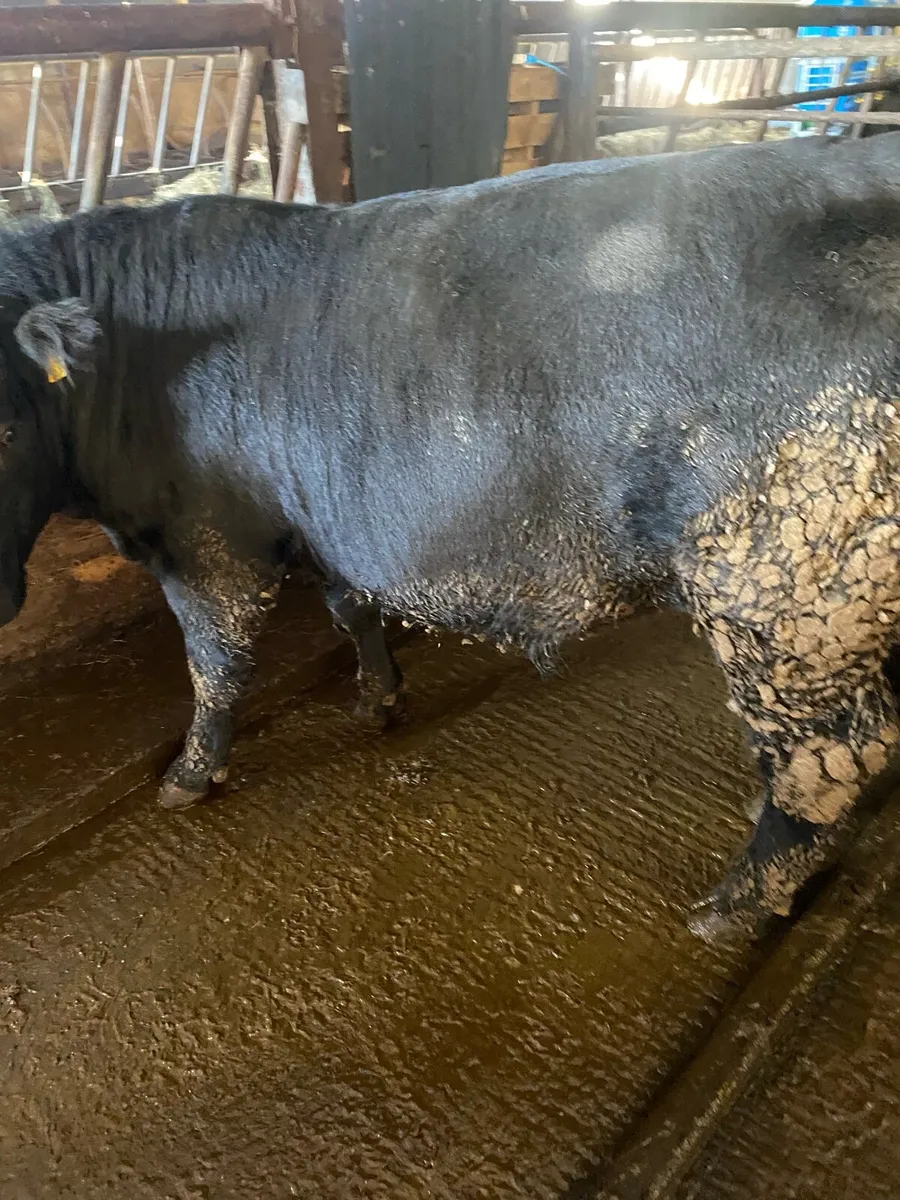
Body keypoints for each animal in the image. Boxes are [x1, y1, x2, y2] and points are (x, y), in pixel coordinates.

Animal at [3, 132, 900, 941]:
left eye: (6, 420)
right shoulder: (328, 519)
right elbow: (351, 609)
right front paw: (378, 699)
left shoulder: (207, 539)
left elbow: (217, 665)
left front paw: (190, 775)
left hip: (782, 585)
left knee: (835, 755)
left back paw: (734, 910)